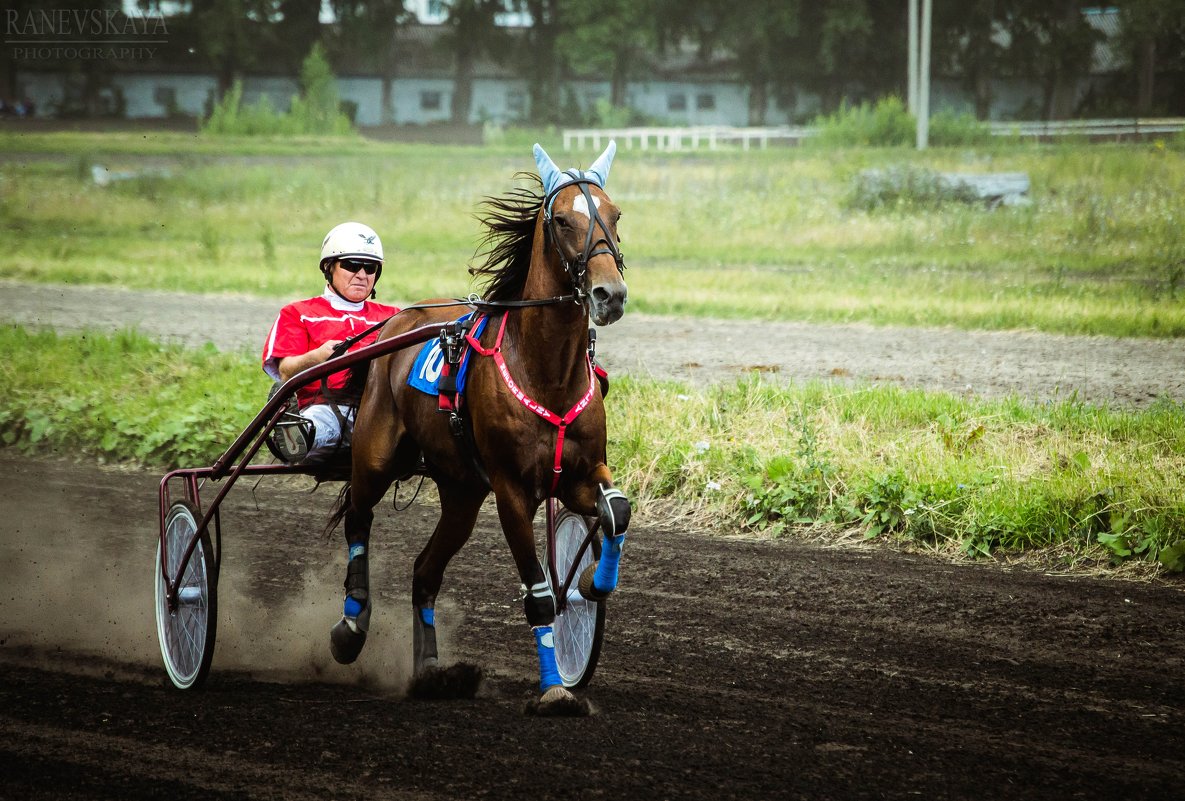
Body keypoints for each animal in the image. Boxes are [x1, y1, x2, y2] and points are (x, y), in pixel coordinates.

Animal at [329, 141, 635, 710]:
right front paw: (554, 690)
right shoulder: (513, 490)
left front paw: (589, 583)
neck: (546, 371)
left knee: (424, 572)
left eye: (615, 214)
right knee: (359, 517)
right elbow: (539, 595)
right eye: (563, 220)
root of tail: (393, 325)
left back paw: (430, 672)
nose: (610, 294)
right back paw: (350, 627)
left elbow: (616, 513)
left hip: (463, 492)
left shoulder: (582, 473)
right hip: (376, 456)